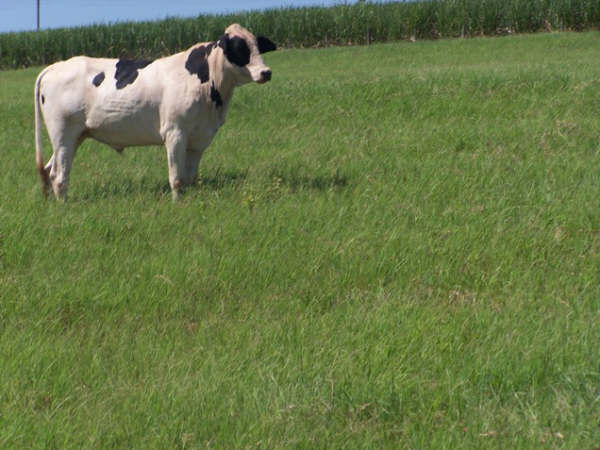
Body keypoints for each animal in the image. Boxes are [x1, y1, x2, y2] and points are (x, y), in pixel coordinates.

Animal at [34, 23, 277, 200]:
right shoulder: (174, 132)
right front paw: (178, 204)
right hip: (63, 134)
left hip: (74, 137)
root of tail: (55, 66)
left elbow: (189, 178)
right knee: (59, 176)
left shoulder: (199, 138)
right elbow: (177, 178)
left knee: (49, 171)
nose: (266, 72)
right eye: (239, 48)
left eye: (258, 46)